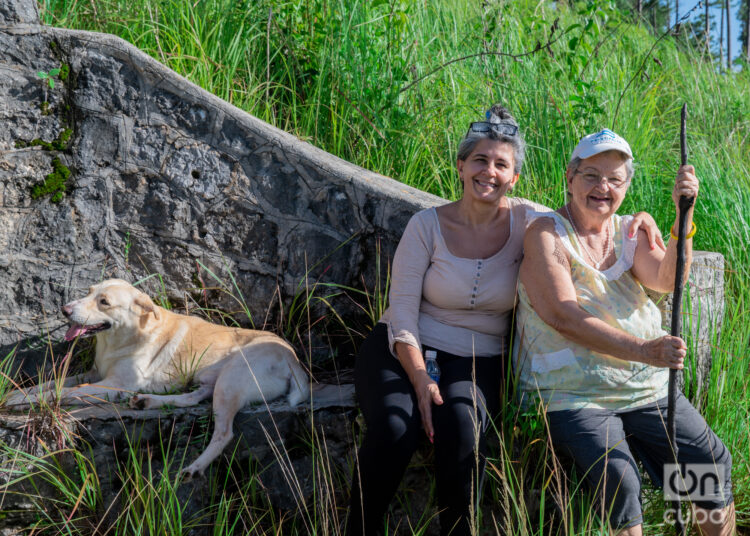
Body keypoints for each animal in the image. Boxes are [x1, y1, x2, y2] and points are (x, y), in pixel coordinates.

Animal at [4, 278, 310, 476]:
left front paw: (23, 402)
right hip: (216, 380)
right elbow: (50, 384)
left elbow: (66, 392)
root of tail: (293, 359)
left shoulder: (114, 385)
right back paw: (147, 402)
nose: (65, 310)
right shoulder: (95, 373)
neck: (119, 339)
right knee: (193, 398)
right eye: (89, 292)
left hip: (232, 377)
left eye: (104, 302)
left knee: (224, 433)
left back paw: (195, 467)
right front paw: (15, 394)